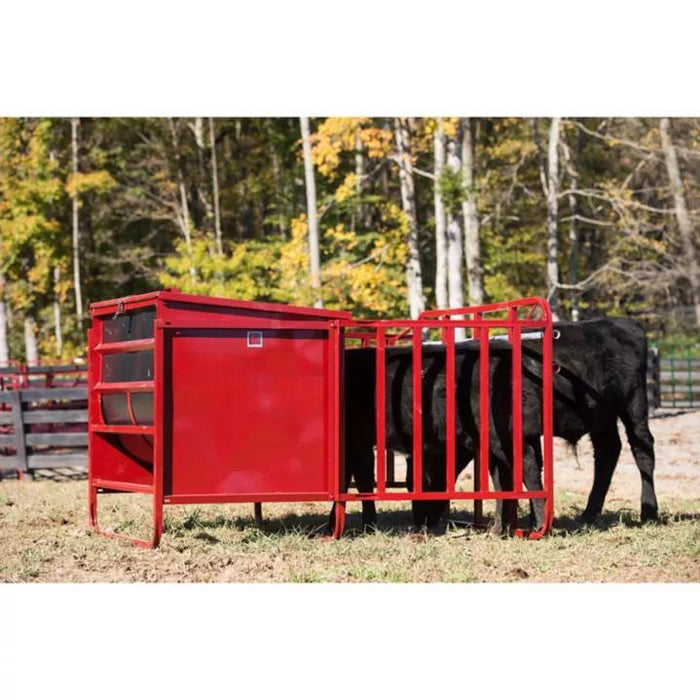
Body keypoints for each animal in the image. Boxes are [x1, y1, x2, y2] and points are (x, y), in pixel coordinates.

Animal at [333, 317, 658, 534]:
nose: (421, 521)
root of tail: (621, 323)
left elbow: (525, 475)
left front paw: (536, 523)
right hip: (601, 417)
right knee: (607, 452)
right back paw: (589, 513)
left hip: (634, 406)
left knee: (643, 451)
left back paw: (649, 512)